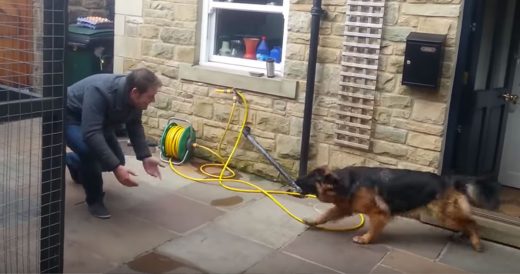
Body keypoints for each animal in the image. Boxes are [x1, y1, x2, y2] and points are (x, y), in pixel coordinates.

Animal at [296, 166, 484, 252]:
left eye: (310, 177)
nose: (296, 180)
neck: (345, 182)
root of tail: (448, 180)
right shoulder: (344, 208)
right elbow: (326, 214)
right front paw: (313, 221)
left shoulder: (379, 213)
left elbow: (373, 229)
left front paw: (365, 239)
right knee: (466, 222)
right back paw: (462, 235)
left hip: (443, 213)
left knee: (472, 222)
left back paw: (475, 242)